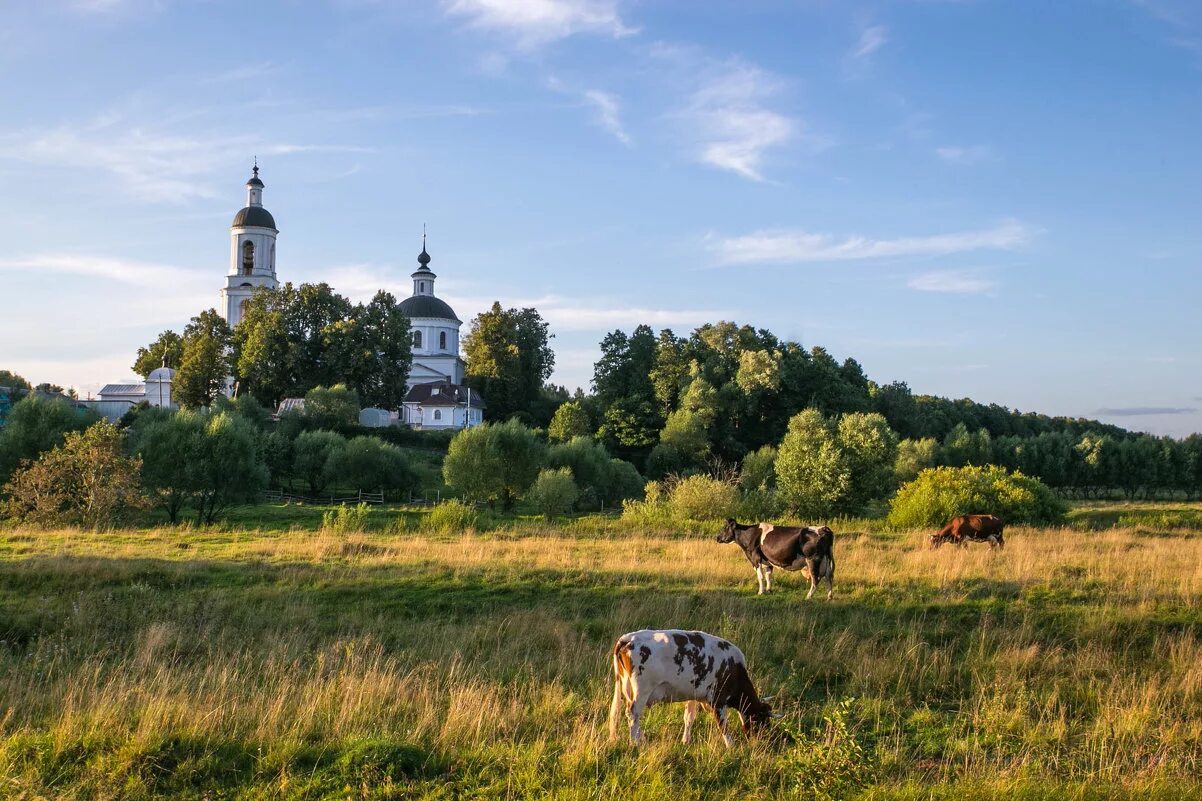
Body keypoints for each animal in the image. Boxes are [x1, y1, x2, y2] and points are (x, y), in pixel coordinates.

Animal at [605, 625, 774, 745]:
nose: (761, 742)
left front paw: (685, 740)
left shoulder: (694, 695)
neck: (734, 668)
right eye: (763, 722)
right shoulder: (718, 699)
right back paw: (636, 743)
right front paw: (730, 746)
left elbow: (689, 718)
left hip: (627, 688)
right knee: (633, 714)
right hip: (641, 691)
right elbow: (723, 724)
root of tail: (627, 638)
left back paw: (642, 739)